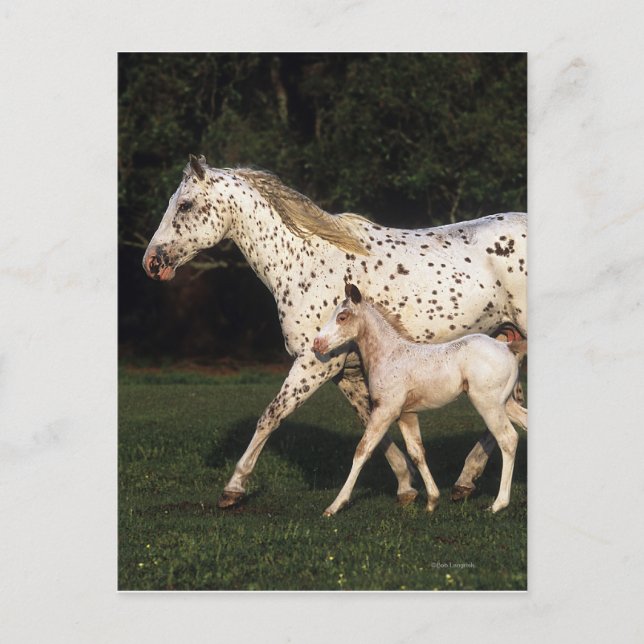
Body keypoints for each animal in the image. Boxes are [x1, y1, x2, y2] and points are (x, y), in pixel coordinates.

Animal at [313, 283, 527, 515]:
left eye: (342, 316)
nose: (317, 344)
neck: (389, 354)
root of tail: (507, 346)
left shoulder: (385, 409)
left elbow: (363, 450)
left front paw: (335, 505)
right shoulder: (406, 414)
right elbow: (417, 453)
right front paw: (432, 501)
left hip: (488, 404)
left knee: (508, 439)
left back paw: (498, 504)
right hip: (505, 403)